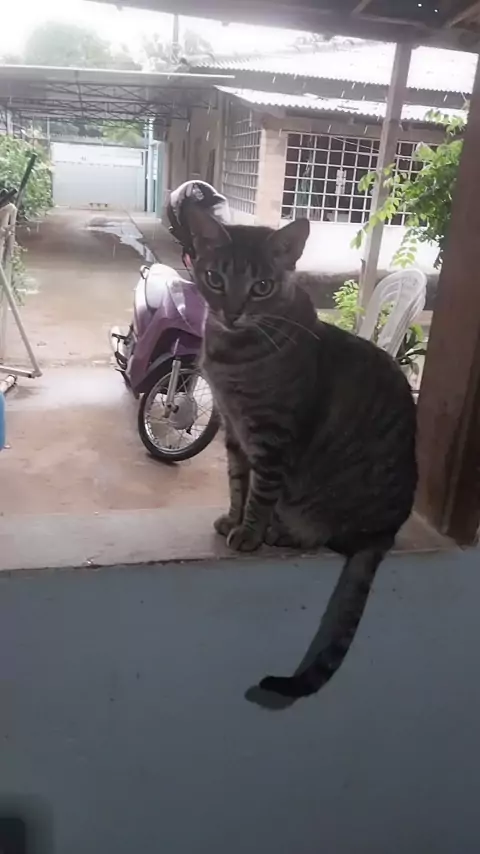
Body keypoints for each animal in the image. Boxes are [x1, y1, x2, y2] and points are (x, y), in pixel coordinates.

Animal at [185, 205, 417, 707]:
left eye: (261, 286)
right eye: (214, 277)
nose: (232, 311)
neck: (233, 355)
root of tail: (386, 532)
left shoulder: (273, 437)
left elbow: (260, 492)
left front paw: (249, 532)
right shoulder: (234, 432)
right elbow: (238, 483)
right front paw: (233, 519)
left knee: (321, 535)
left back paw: (281, 532)